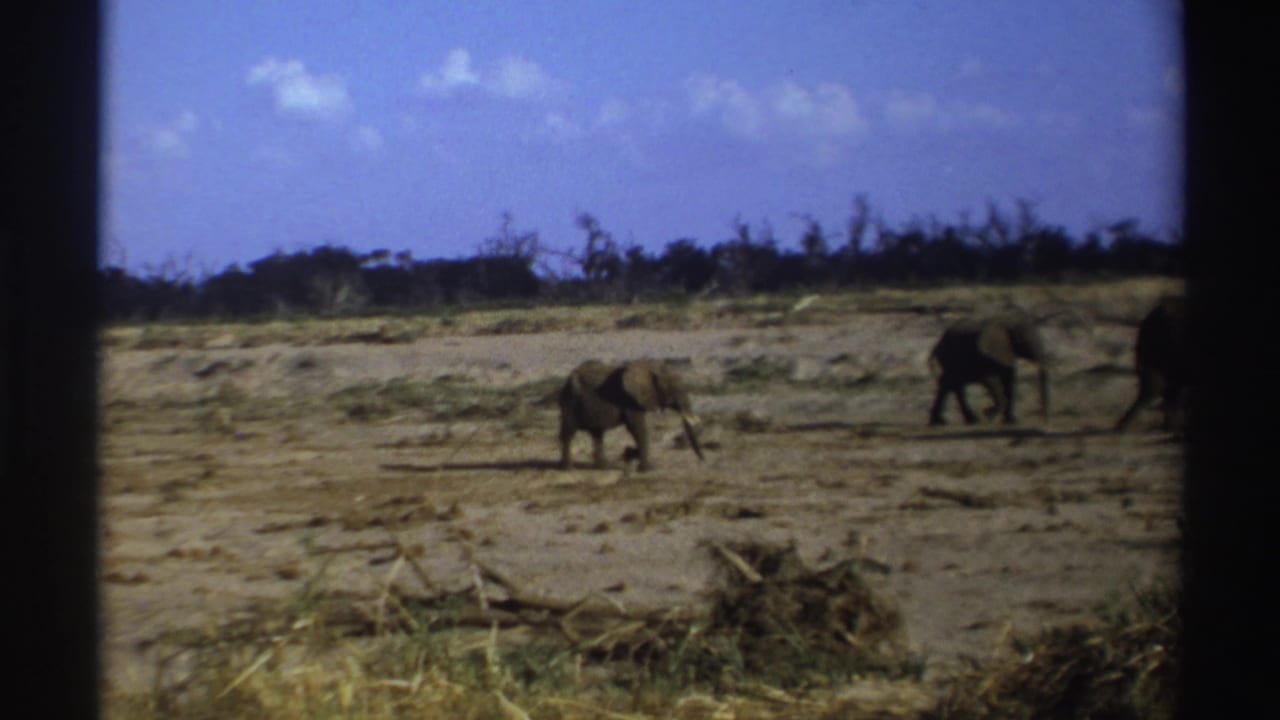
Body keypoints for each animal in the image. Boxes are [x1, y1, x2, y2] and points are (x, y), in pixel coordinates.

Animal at [559, 359, 704, 471]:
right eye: (675, 388)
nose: (703, 461)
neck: (650, 366)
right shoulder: (630, 400)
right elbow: (637, 428)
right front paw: (648, 468)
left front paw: (632, 454)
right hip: (570, 400)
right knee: (568, 433)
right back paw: (568, 468)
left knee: (597, 434)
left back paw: (603, 467)